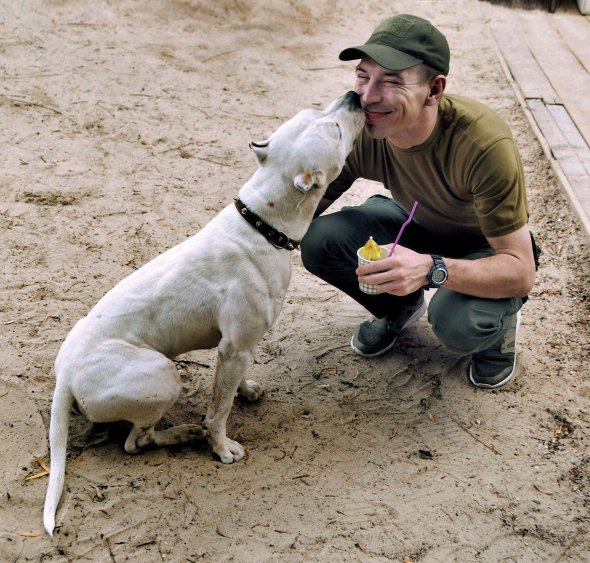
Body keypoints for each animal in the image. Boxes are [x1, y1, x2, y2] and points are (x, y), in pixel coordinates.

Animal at [44, 90, 366, 536]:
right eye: (335, 129)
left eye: (317, 112)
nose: (354, 96)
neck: (262, 222)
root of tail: (66, 377)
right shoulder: (235, 347)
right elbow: (219, 410)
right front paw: (221, 447)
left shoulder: (237, 349)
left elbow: (230, 387)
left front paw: (246, 389)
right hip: (163, 376)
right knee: (136, 442)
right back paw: (183, 433)